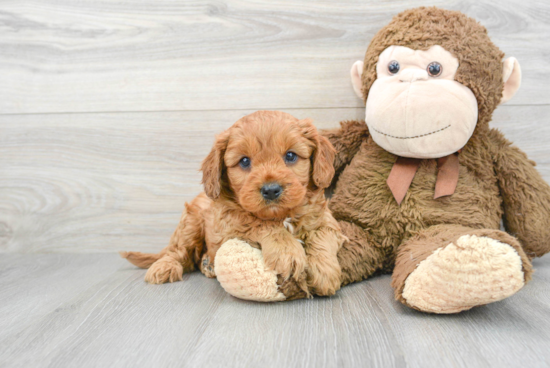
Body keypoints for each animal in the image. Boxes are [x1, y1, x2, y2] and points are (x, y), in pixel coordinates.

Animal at [121, 111, 348, 296]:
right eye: (244, 161)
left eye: (290, 156)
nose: (271, 190)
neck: (281, 215)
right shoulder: (229, 224)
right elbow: (258, 222)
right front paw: (288, 252)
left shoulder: (327, 221)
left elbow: (322, 235)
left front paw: (325, 273)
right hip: (190, 224)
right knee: (177, 252)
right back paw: (165, 267)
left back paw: (206, 263)